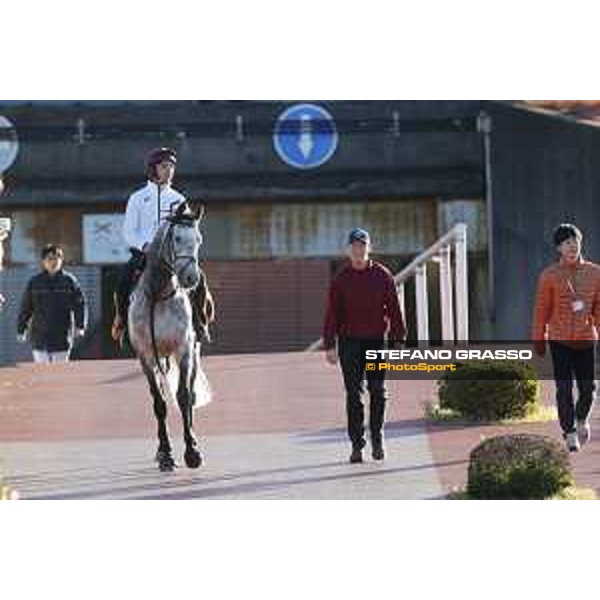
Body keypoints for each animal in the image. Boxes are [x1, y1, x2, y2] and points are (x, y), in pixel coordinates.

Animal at [127, 204, 212, 472]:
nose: (191, 279)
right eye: (177, 238)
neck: (158, 293)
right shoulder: (146, 355)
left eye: (199, 239)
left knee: (191, 395)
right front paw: (165, 453)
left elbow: (183, 397)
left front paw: (192, 452)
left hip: (193, 351)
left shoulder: (183, 349)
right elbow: (159, 403)